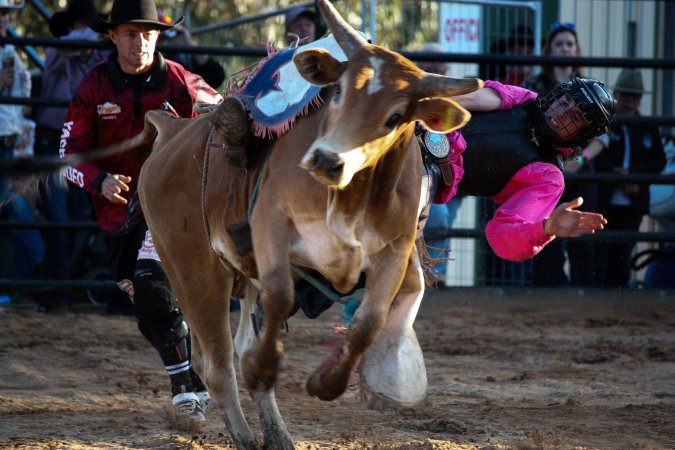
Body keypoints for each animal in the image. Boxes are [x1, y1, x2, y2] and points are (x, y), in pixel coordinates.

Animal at [134, 0, 482, 448]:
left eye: (395, 116)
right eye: (339, 91)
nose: (326, 161)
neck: (352, 196)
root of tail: (174, 130)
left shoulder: (394, 251)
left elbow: (369, 322)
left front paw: (325, 383)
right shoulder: (271, 225)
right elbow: (281, 296)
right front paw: (263, 368)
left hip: (233, 275)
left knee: (237, 345)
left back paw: (277, 433)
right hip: (194, 269)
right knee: (217, 363)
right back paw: (247, 435)